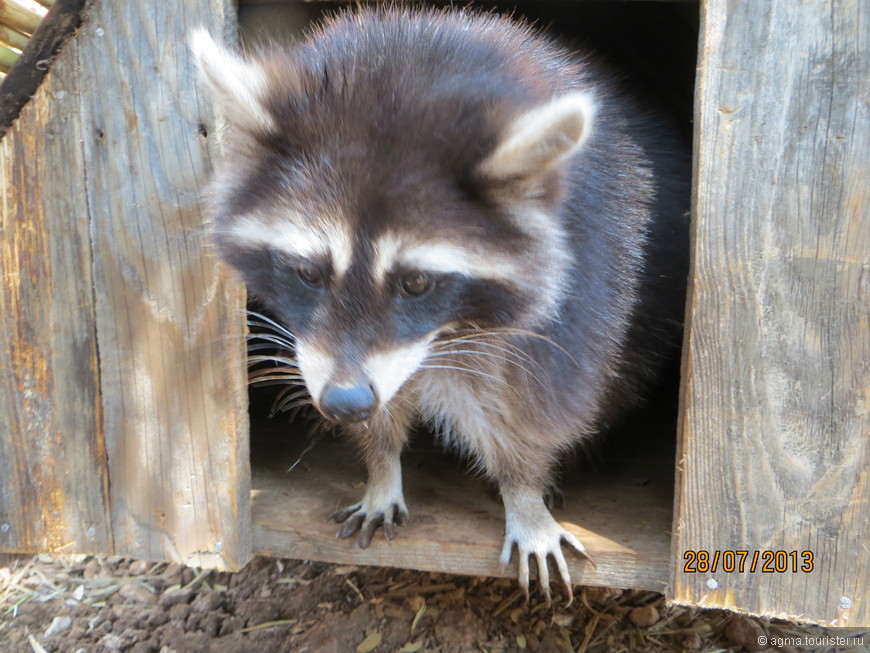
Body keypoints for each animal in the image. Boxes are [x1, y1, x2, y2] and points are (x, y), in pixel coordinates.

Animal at [191, 6, 688, 600]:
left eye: (417, 283)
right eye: (308, 273)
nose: (345, 403)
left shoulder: (584, 283)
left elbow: (530, 404)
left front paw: (524, 491)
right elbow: (380, 407)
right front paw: (380, 464)